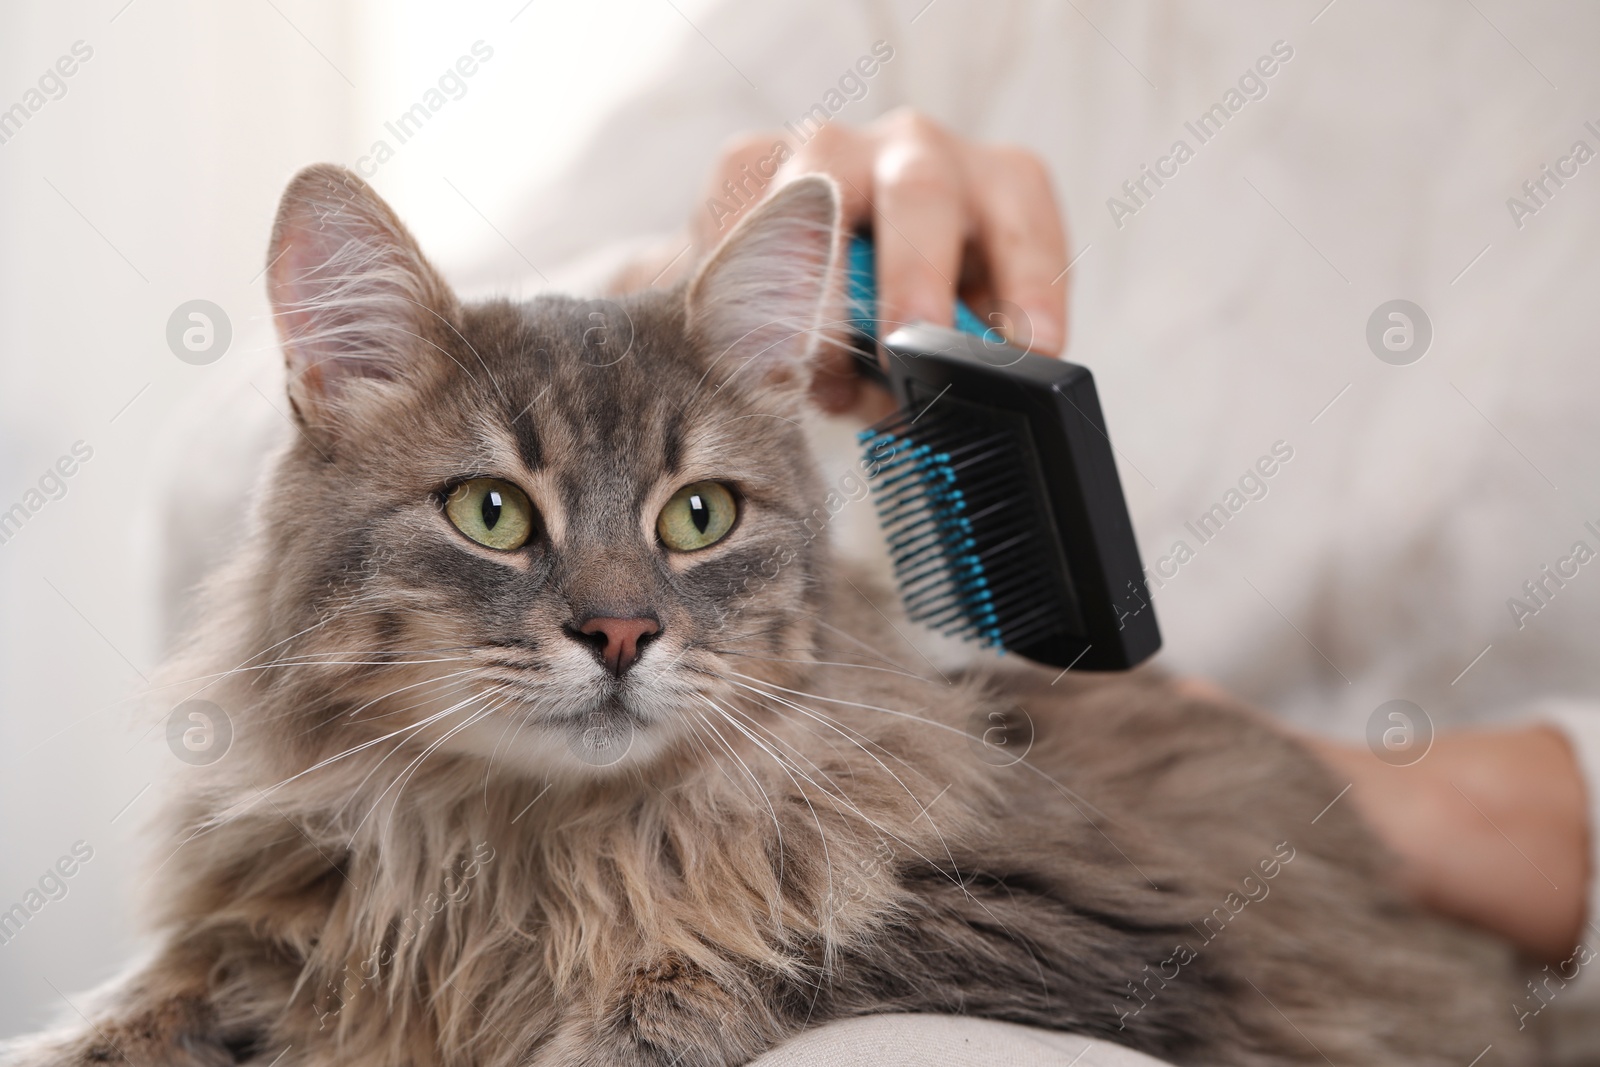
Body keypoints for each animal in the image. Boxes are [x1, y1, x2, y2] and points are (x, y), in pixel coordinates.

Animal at [0, 167, 1523, 1067]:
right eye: (490, 512)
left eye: (697, 517)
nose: (620, 634)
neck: (521, 853)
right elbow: (168, 990)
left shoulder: (1075, 930)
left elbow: (729, 970)